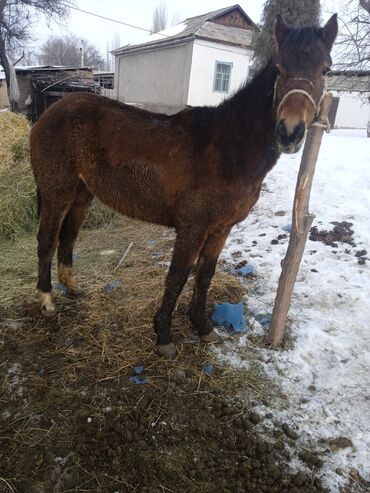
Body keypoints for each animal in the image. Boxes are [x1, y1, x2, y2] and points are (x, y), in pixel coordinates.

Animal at [31, 13, 338, 356]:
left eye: (325, 69)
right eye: (281, 69)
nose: (290, 132)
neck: (228, 147)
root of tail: (51, 111)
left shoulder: (220, 228)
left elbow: (204, 276)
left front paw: (203, 327)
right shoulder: (192, 226)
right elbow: (177, 276)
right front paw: (164, 334)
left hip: (81, 195)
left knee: (67, 239)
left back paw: (72, 289)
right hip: (57, 192)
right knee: (47, 241)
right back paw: (47, 302)